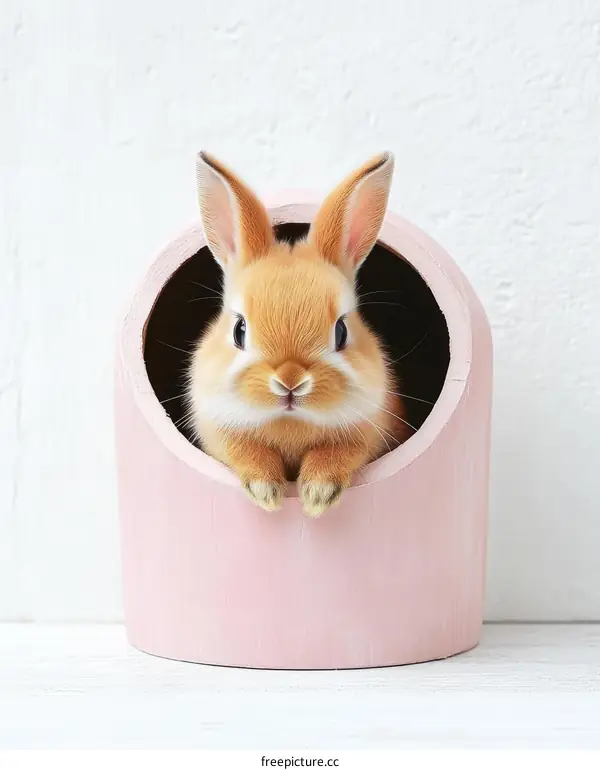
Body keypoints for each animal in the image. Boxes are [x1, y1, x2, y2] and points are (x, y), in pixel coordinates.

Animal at [186, 151, 411, 517]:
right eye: (239, 330)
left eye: (341, 331)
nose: (290, 381)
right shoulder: (220, 430)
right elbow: (246, 452)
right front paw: (267, 492)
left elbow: (339, 453)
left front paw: (318, 495)